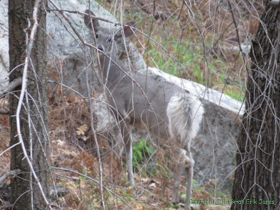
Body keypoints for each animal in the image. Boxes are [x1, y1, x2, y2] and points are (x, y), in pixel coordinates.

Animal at [84, 9, 205, 208]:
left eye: (110, 39)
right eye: (96, 34)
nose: (99, 48)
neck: (114, 80)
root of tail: (186, 101)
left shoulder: (123, 114)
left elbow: (127, 149)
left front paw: (130, 182)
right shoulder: (129, 121)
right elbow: (118, 146)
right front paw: (113, 170)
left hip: (163, 127)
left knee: (182, 157)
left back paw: (176, 198)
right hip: (186, 130)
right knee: (190, 158)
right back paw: (183, 201)